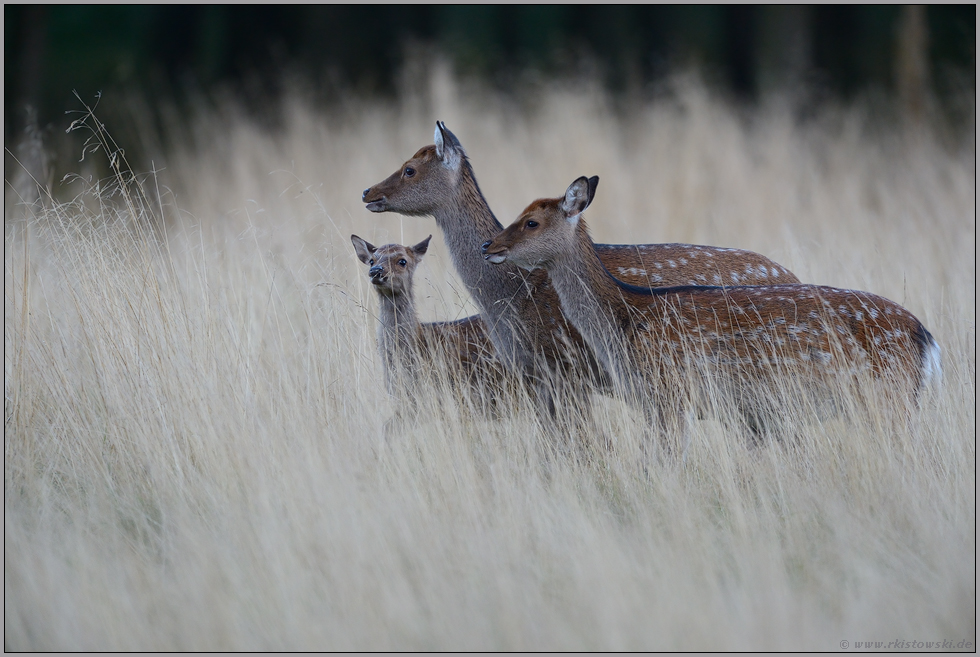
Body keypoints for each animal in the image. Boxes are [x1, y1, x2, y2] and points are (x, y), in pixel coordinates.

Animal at [362, 121, 804, 416]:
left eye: (409, 169)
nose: (367, 192)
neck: (509, 293)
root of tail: (793, 276)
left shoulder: (565, 370)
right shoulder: (536, 376)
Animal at [482, 177, 940, 448]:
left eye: (531, 222)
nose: (489, 246)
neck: (624, 325)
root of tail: (926, 339)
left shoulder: (670, 393)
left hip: (888, 398)